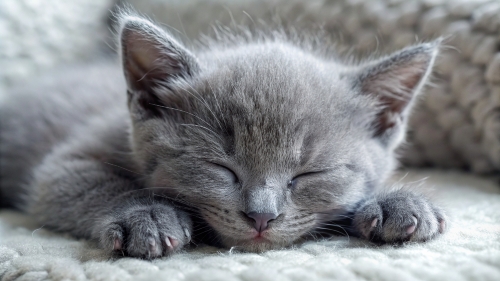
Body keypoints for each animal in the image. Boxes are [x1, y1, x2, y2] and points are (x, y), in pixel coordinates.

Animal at [0, 14, 446, 258]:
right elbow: (93, 185)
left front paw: (395, 203)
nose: (262, 216)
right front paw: (146, 216)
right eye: (221, 168)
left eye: (310, 174)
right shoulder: (65, 165)